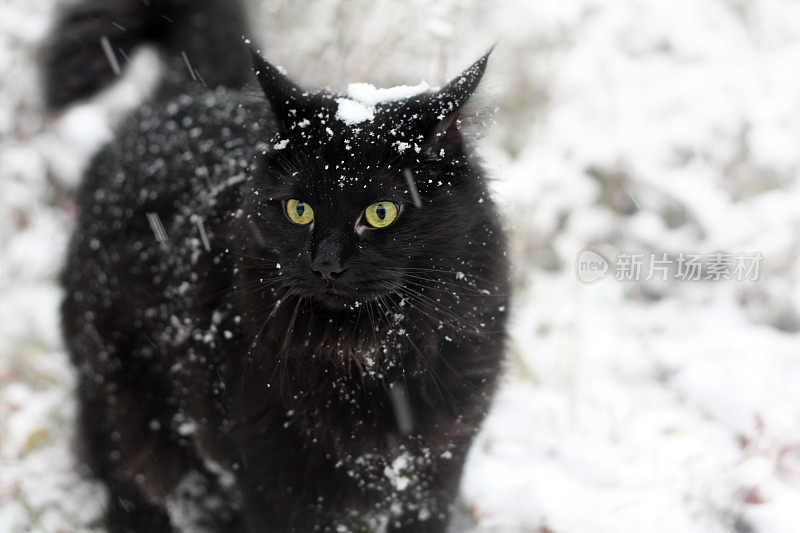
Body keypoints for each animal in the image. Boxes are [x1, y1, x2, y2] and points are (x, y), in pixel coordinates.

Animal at [45, 1, 506, 532]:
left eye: (381, 213)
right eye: (298, 210)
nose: (326, 264)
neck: (365, 357)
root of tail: (181, 101)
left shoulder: (430, 477)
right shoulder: (274, 483)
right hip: (128, 414)